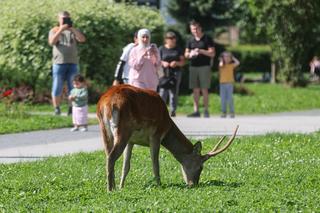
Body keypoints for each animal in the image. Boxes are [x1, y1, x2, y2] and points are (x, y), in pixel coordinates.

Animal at [96, 84, 239, 191]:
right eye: (200, 167)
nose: (194, 184)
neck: (167, 126)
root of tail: (107, 103)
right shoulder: (156, 134)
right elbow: (155, 163)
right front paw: (159, 185)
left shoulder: (132, 140)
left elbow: (126, 166)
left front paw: (122, 186)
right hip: (123, 129)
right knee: (111, 156)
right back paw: (110, 189)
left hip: (105, 129)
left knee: (108, 155)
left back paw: (113, 186)